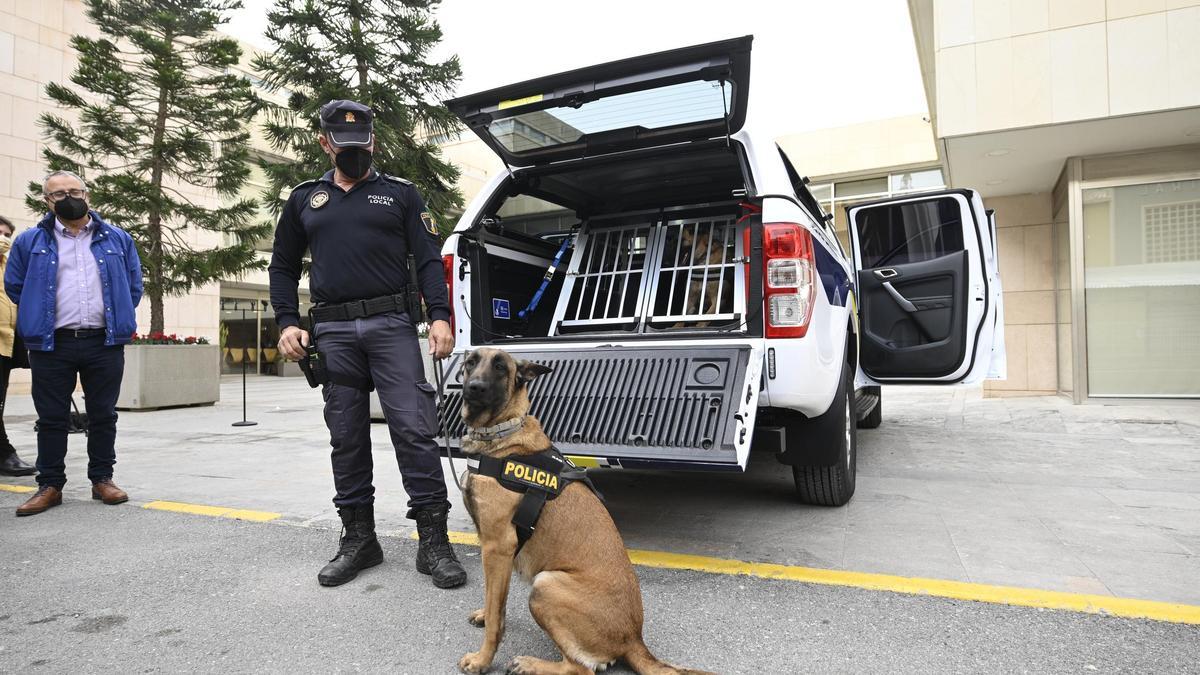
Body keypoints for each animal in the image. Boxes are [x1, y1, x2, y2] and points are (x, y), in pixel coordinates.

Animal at [453, 345, 705, 672]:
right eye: (471, 363)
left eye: (500, 367)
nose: (474, 388)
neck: (500, 432)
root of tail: (634, 639)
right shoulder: (494, 552)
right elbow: (494, 600)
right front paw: (485, 614)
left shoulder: (498, 547)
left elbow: (498, 619)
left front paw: (483, 659)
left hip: (545, 585)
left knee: (579, 668)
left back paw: (531, 664)